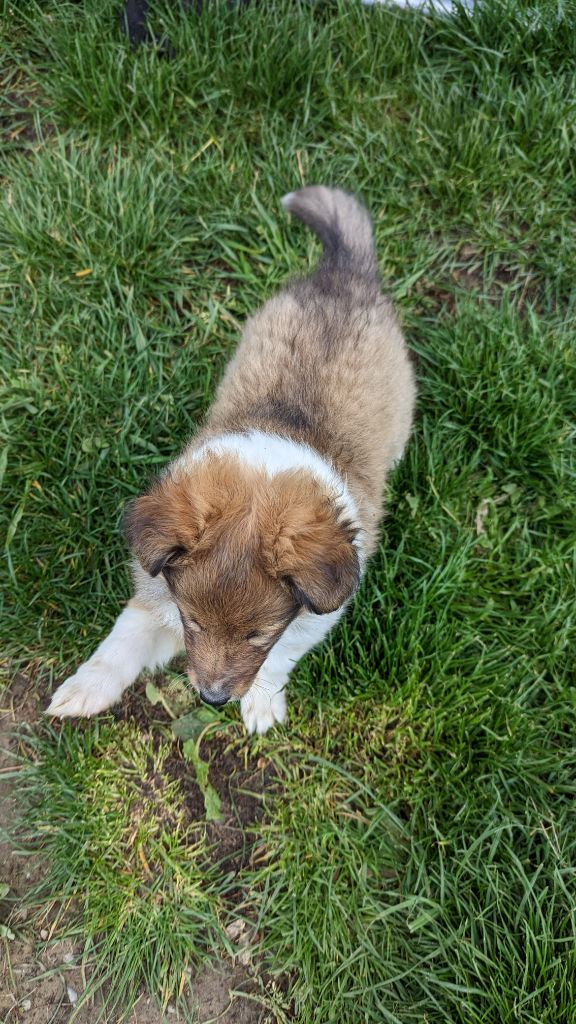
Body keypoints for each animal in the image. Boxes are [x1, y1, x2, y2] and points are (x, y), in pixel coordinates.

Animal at [45, 188, 412, 733]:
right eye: (194, 621)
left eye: (257, 634)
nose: (212, 699)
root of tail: (346, 273)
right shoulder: (154, 594)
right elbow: (120, 644)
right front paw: (82, 691)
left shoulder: (311, 621)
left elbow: (279, 659)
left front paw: (261, 705)